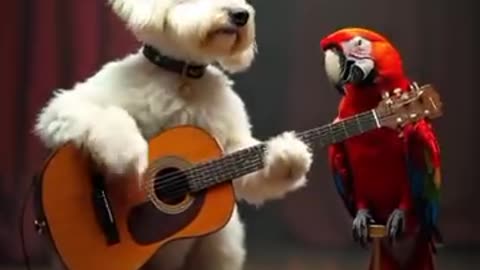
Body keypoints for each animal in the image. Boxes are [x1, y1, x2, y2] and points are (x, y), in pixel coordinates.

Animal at [32, 0, 312, 270]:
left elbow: (250, 174)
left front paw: (287, 155)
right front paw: (124, 152)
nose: (240, 15)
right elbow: (99, 114)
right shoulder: (67, 106)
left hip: (220, 247)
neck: (182, 76)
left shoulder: (231, 144)